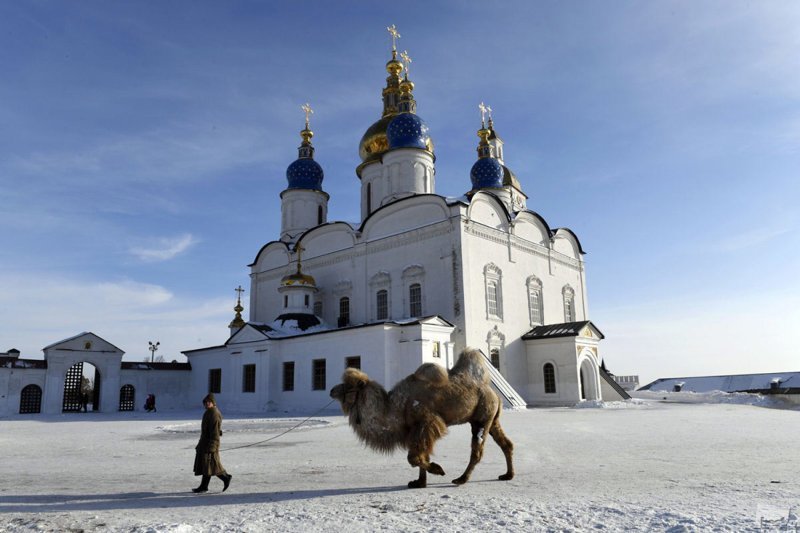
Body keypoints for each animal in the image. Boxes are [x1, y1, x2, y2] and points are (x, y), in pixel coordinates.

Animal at [328, 348, 516, 488]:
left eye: (348, 387)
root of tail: (494, 394)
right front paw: (419, 482)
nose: (331, 390)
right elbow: (422, 454)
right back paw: (508, 475)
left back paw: (461, 479)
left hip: (481, 418)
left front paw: (438, 469)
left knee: (477, 450)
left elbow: (414, 457)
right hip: (492, 418)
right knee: (506, 444)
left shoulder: (427, 422)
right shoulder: (414, 428)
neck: (395, 407)